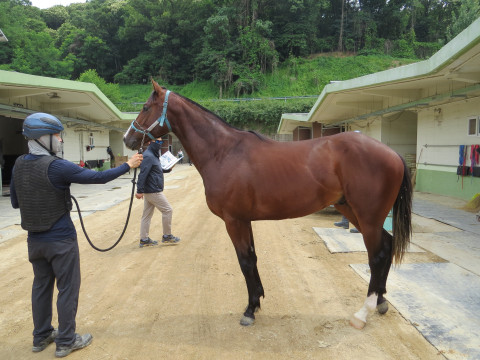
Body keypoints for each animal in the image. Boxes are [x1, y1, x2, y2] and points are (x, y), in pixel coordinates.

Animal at [124, 80, 412, 330]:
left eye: (146, 107)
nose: (128, 139)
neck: (224, 152)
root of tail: (393, 153)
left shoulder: (234, 221)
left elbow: (244, 261)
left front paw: (250, 310)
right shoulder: (244, 220)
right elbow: (252, 258)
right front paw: (258, 300)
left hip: (367, 217)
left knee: (377, 256)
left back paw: (363, 313)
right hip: (354, 212)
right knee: (387, 246)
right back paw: (382, 302)